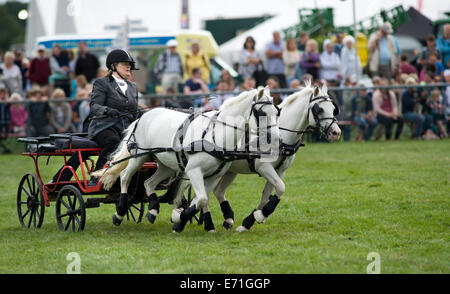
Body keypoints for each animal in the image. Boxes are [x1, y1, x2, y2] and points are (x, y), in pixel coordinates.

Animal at [93, 86, 280, 231]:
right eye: (261, 112)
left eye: (276, 112)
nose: (276, 139)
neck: (216, 135)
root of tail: (143, 115)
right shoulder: (193, 170)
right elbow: (202, 198)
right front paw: (179, 219)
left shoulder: (214, 176)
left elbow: (201, 199)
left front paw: (188, 220)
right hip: (140, 155)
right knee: (125, 177)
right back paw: (119, 213)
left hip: (166, 164)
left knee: (149, 183)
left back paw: (153, 210)